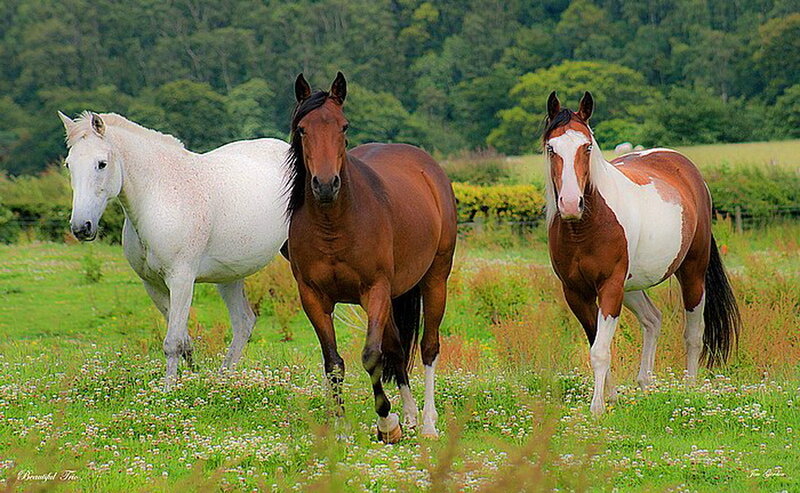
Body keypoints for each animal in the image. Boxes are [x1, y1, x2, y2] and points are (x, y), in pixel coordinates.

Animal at [58, 111, 290, 386]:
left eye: (101, 164)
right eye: (69, 165)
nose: (81, 227)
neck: (159, 196)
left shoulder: (181, 281)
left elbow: (173, 343)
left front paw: (168, 390)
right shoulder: (153, 284)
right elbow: (184, 341)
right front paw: (188, 380)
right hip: (230, 277)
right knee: (244, 323)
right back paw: (223, 380)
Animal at [285, 73, 457, 442]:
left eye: (344, 126)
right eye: (302, 128)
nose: (325, 185)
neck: (334, 226)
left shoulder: (374, 290)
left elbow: (370, 356)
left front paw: (386, 423)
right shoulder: (313, 297)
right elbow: (334, 363)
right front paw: (342, 429)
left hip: (435, 279)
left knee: (428, 347)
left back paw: (428, 423)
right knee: (396, 347)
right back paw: (410, 416)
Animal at [542, 91, 740, 416]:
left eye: (587, 146)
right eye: (551, 148)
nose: (571, 204)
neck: (586, 227)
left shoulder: (610, 287)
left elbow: (600, 350)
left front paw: (597, 408)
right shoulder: (576, 292)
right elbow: (596, 343)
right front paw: (610, 396)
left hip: (692, 273)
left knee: (693, 333)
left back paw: (690, 388)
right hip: (632, 286)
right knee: (653, 319)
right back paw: (645, 383)